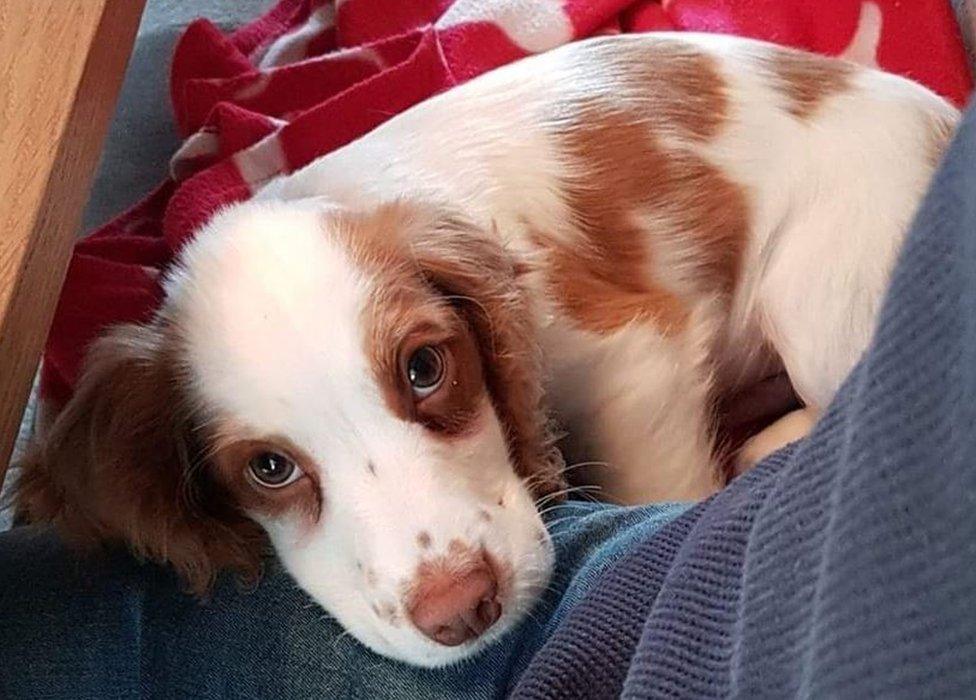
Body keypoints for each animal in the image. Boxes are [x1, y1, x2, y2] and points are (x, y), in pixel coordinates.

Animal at [17, 34, 960, 668]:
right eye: (268, 470)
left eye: (425, 369)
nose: (464, 612)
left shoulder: (630, 354)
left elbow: (659, 494)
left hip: (820, 290)